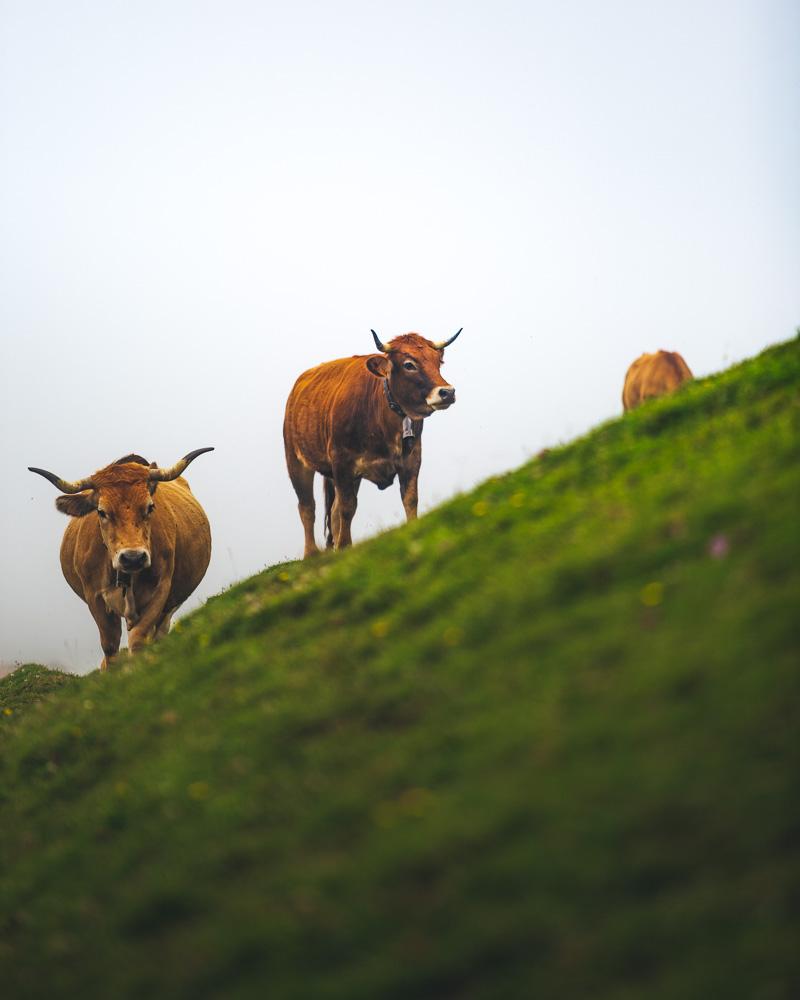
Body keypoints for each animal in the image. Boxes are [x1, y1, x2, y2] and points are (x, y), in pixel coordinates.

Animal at [30, 448, 214, 668]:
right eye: (101, 511)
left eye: (150, 507)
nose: (133, 558)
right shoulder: (94, 596)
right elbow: (110, 645)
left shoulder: (160, 590)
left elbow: (139, 640)